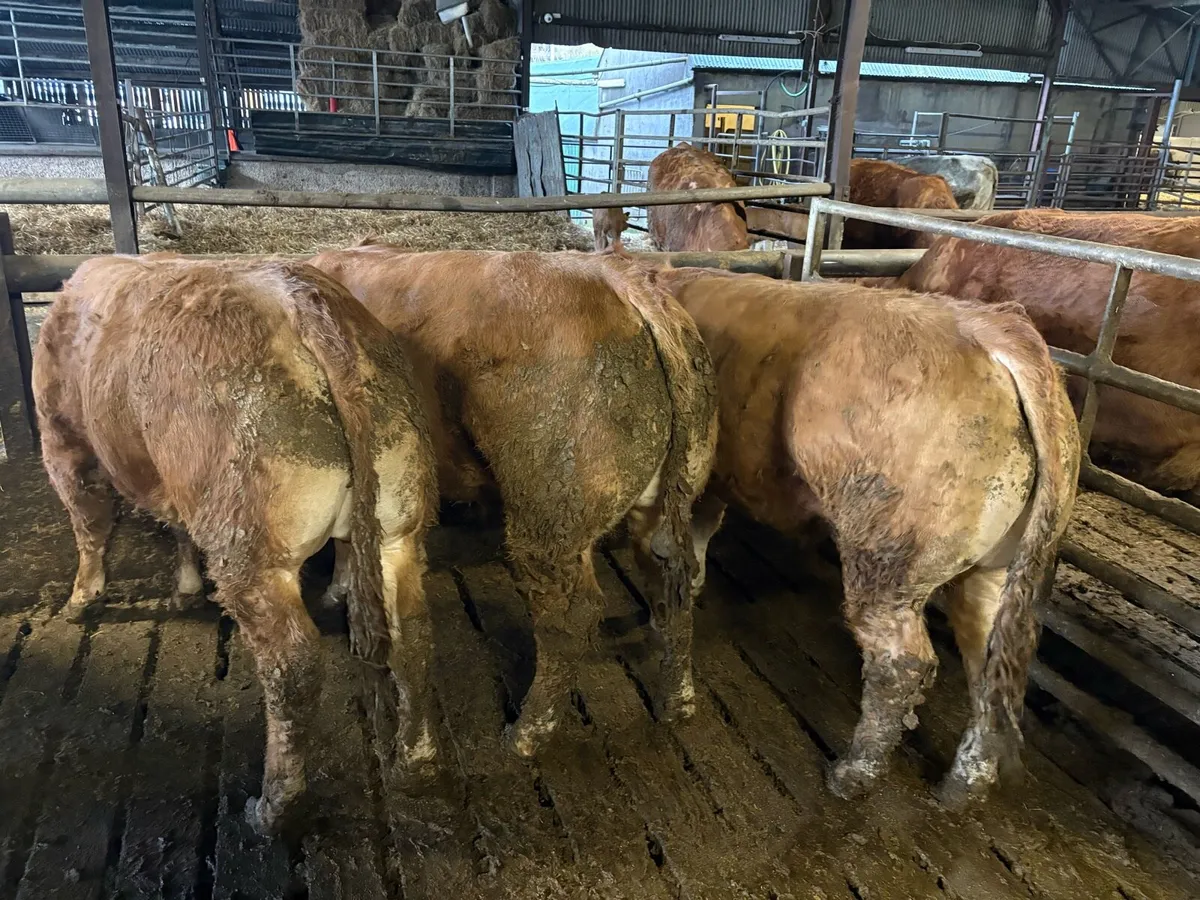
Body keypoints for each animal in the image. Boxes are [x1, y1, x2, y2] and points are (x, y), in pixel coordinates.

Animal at [32, 256, 438, 836]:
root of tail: (302, 298)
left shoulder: (62, 437)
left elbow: (89, 524)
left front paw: (82, 600)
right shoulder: (175, 482)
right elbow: (178, 528)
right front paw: (184, 588)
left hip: (252, 549)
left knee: (293, 668)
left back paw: (273, 808)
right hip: (395, 526)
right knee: (414, 637)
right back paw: (414, 765)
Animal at [308, 246, 719, 756]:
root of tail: (623, 280)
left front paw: (334, 592)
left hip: (547, 510)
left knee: (571, 615)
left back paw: (526, 734)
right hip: (666, 495)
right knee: (671, 581)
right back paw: (677, 704)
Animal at [658, 266, 1080, 807]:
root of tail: (990, 328)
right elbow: (703, 526)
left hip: (886, 555)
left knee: (901, 662)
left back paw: (853, 774)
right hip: (997, 568)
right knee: (989, 659)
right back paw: (963, 785)